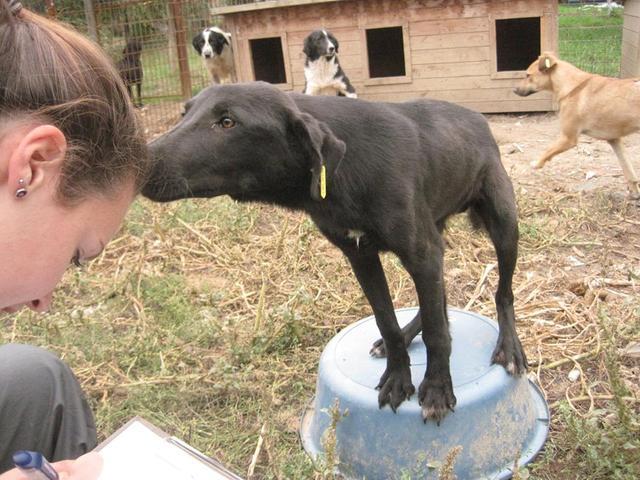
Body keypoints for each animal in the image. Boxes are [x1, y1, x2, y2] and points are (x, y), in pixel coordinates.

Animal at [142, 82, 528, 424]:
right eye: (184, 113)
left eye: (227, 122)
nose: (139, 168)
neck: (346, 169)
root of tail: (478, 118)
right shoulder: (361, 256)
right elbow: (387, 320)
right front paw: (398, 374)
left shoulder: (421, 252)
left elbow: (437, 333)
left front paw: (435, 388)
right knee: (438, 302)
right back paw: (408, 335)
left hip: (503, 224)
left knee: (502, 293)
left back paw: (509, 346)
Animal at [512, 54, 640, 199]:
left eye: (528, 75)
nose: (514, 90)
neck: (571, 86)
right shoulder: (614, 140)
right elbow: (627, 167)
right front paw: (634, 191)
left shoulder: (568, 138)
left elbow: (548, 150)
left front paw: (537, 164)